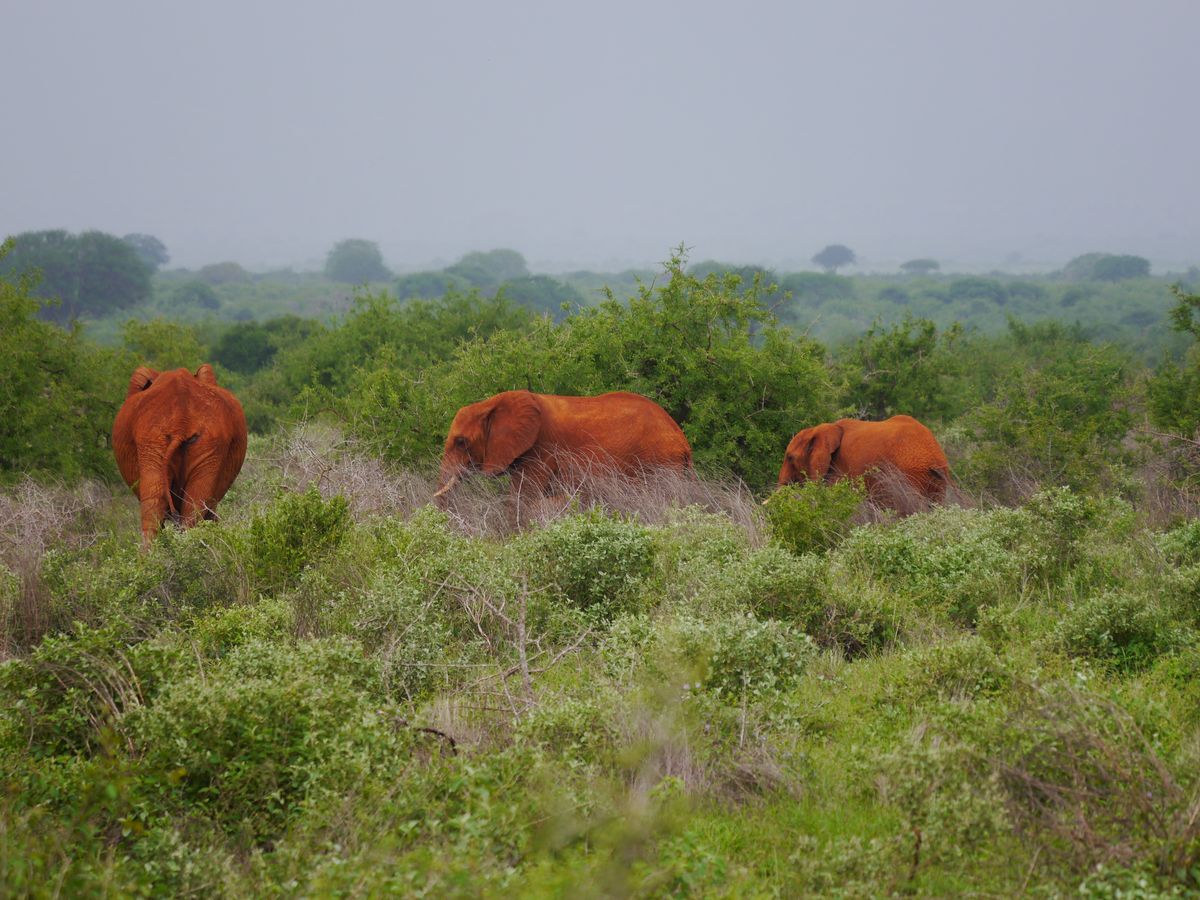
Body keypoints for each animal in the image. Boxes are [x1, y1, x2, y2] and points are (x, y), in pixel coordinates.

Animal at [433, 390, 693, 520]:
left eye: (461, 442)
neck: (492, 403)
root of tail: (683, 441)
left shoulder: (541, 449)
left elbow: (521, 497)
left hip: (661, 461)